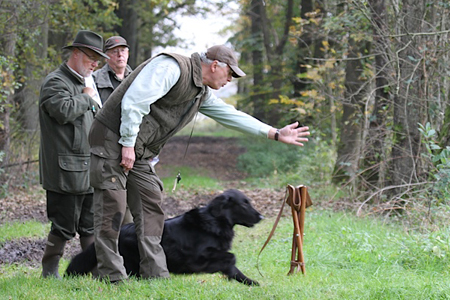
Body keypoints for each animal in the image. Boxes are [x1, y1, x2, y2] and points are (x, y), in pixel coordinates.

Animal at [67, 190, 264, 286]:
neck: (215, 221)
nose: (262, 217)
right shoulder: (198, 256)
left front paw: (250, 282)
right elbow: (231, 257)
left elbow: (233, 266)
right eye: (244, 204)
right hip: (131, 262)